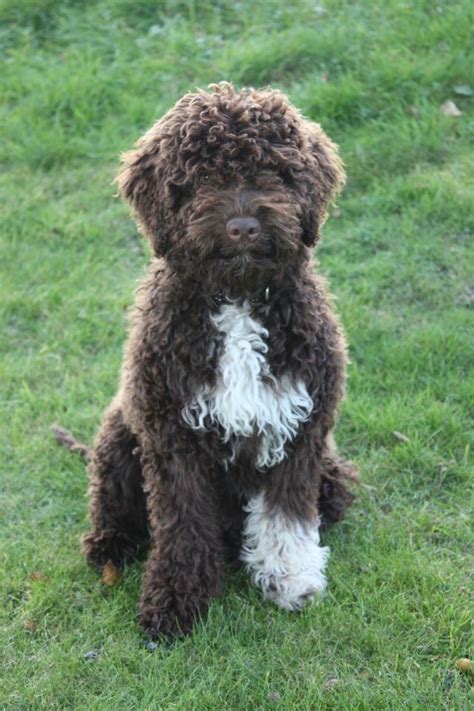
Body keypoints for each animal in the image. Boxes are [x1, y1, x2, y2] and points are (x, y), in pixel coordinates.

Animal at [67, 83, 360, 640]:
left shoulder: (301, 428)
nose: (243, 227)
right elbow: (182, 524)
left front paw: (290, 577)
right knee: (112, 502)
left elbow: (286, 514)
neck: (238, 300)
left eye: (273, 171)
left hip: (331, 474)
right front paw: (176, 599)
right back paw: (111, 544)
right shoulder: (171, 435)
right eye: (202, 178)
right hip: (120, 432)